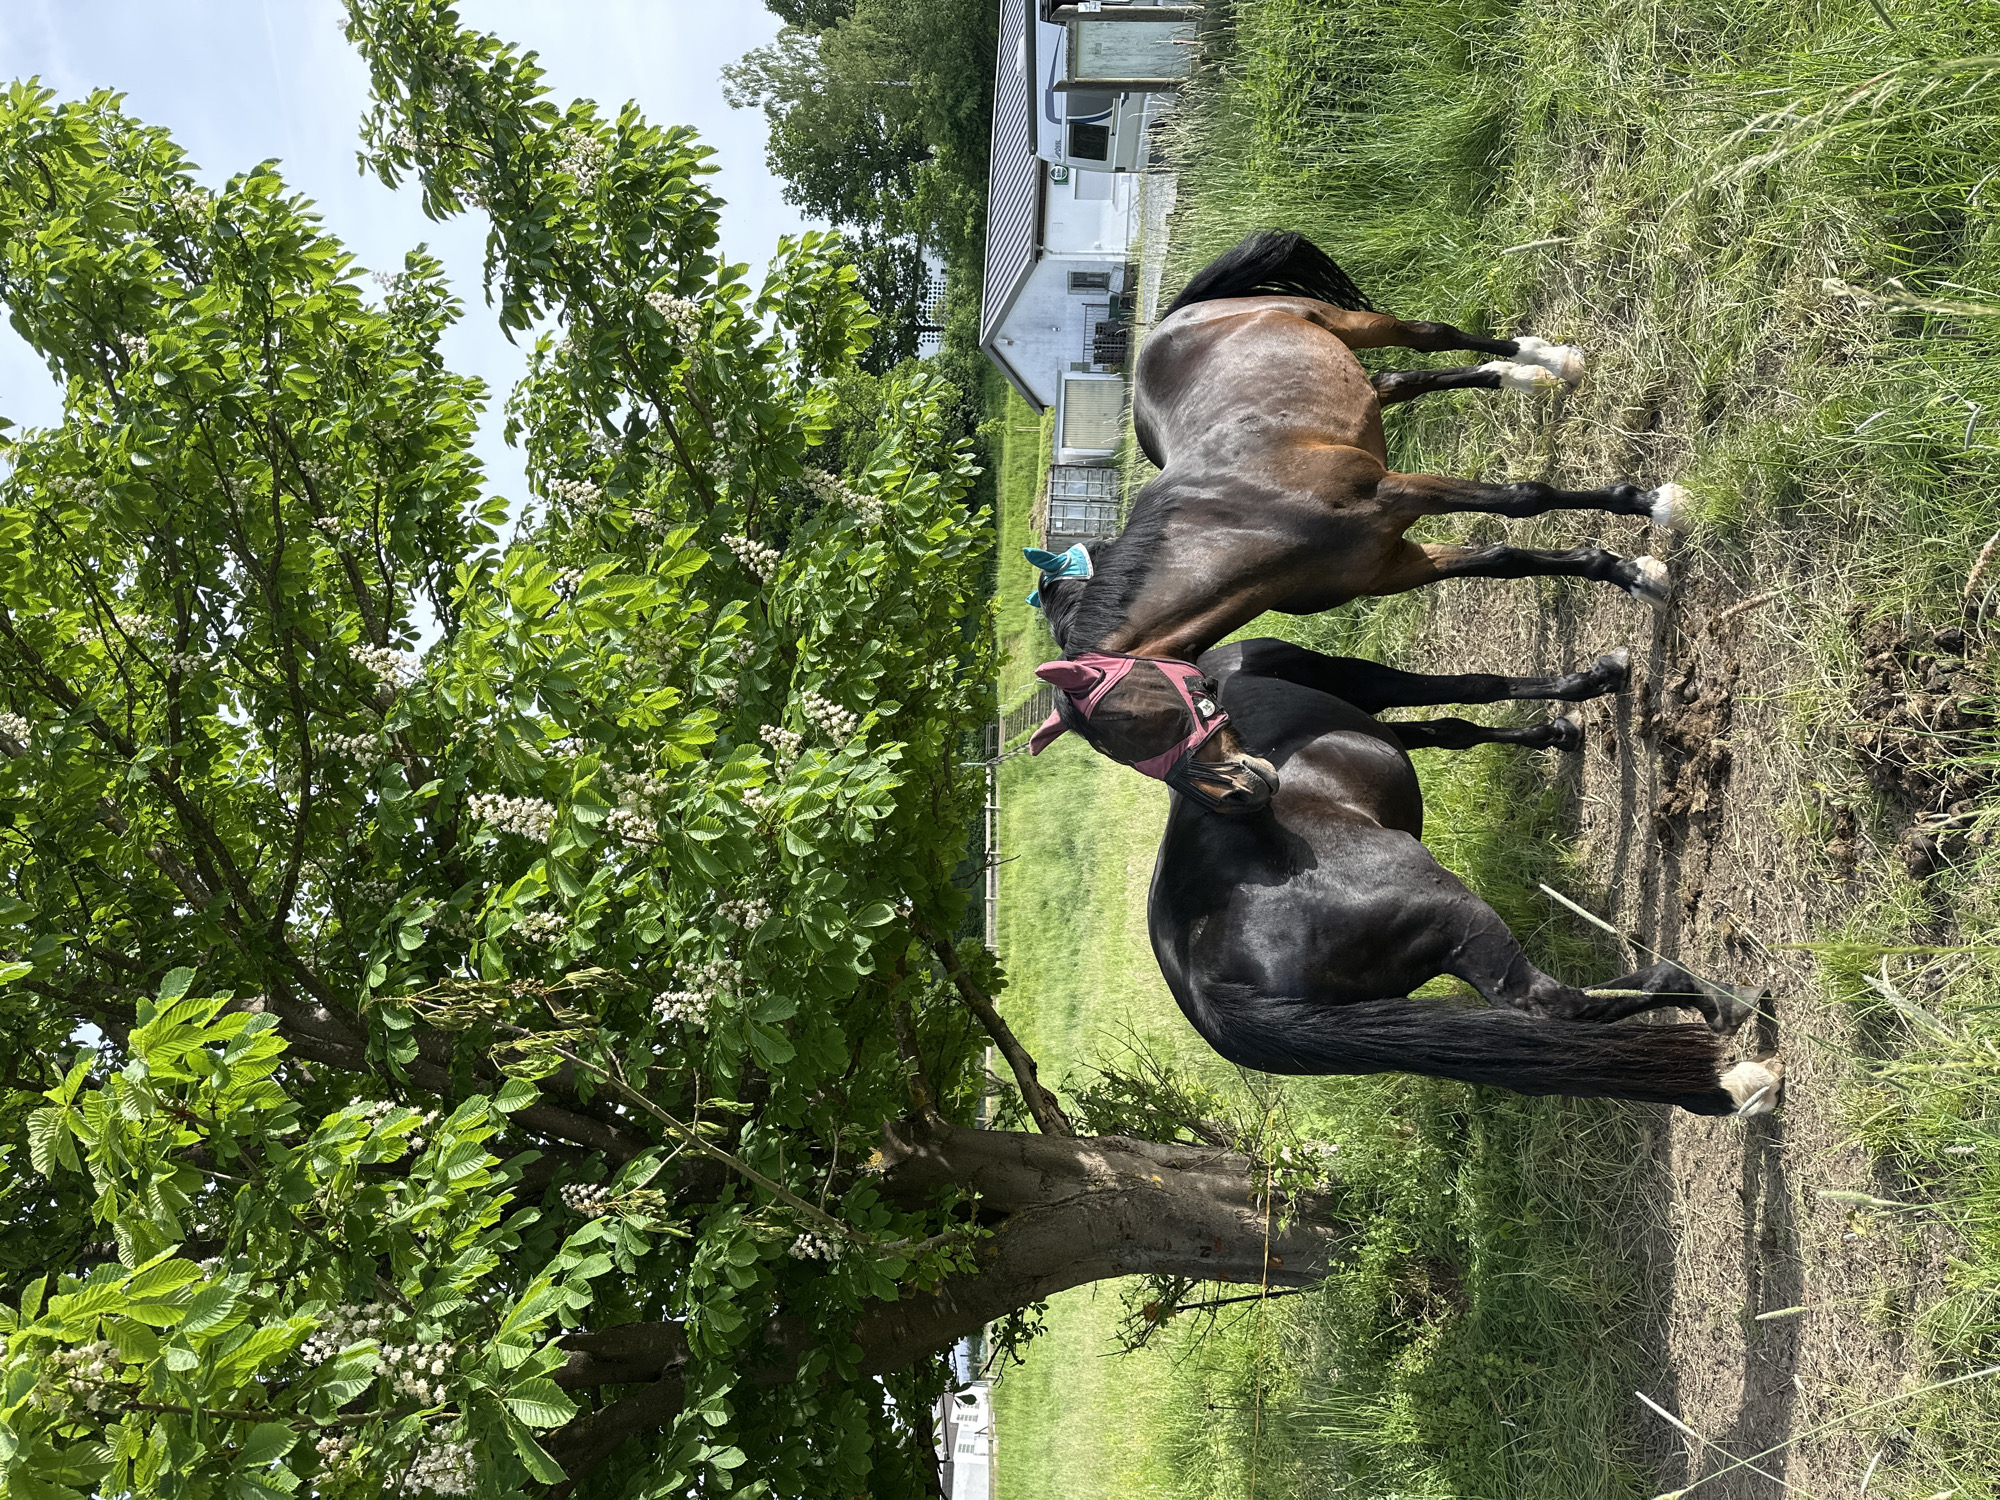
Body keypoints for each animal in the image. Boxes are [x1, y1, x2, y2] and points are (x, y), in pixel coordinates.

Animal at [1029, 228, 1689, 814]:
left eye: (1141, 721)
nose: (1237, 798)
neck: (1251, 516)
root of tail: (1176, 318)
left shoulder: (1396, 494)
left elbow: (1524, 498)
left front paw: (1651, 528)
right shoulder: (1393, 565)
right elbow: (1505, 561)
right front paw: (1620, 575)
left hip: (1342, 321)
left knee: (1427, 337)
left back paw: (1545, 358)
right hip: (1360, 384)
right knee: (1400, 379)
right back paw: (1522, 377)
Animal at [1134, 636, 1780, 1115]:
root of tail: (1205, 979)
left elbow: (1451, 729)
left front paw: (1556, 732)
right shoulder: (1367, 682)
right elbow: (1472, 686)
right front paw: (1596, 679)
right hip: (1457, 916)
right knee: (1549, 1007)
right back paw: (1725, 1013)